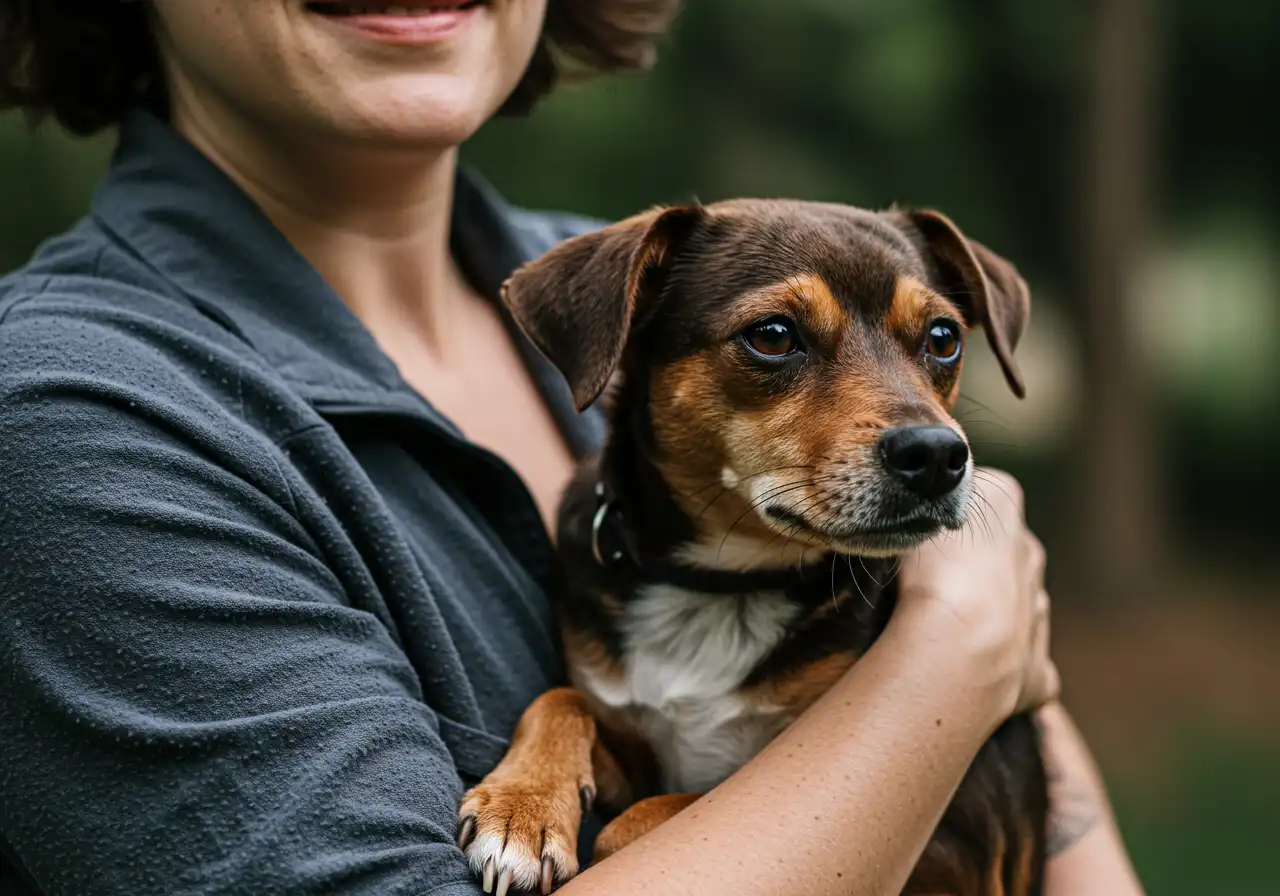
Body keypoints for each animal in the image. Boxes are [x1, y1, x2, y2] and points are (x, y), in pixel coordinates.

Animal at [460, 200, 1049, 896]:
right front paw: (522, 807)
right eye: (771, 335)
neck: (726, 582)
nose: (936, 455)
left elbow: (645, 818)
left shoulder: (950, 851)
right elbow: (562, 698)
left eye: (942, 338)